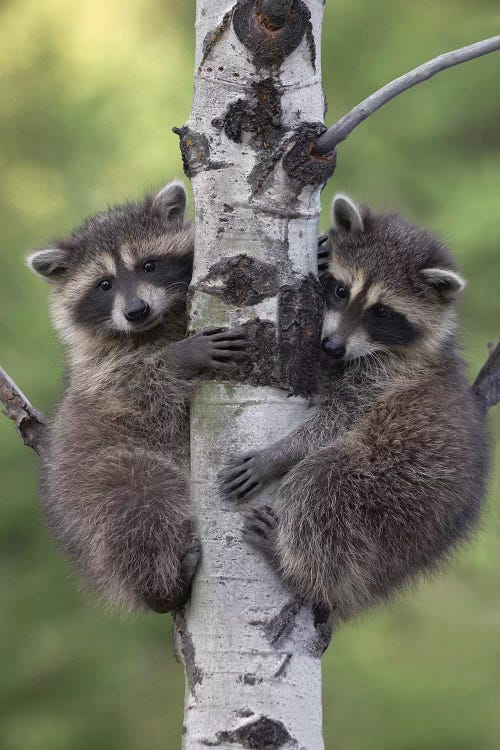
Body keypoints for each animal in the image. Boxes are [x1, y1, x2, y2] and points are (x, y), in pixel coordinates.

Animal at [27, 182, 246, 612]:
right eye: (104, 284)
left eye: (149, 265)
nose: (136, 310)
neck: (155, 327)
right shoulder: (101, 374)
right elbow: (140, 391)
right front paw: (178, 359)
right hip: (105, 477)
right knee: (139, 509)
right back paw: (160, 586)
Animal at [221, 194, 490, 624]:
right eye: (341, 290)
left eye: (381, 312)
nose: (331, 347)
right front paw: (321, 251)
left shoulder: (386, 379)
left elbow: (336, 418)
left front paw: (279, 453)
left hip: (395, 490)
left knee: (323, 480)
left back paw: (300, 570)